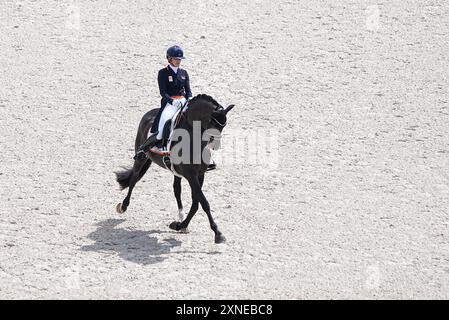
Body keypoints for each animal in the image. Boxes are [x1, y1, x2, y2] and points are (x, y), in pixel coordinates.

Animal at [114, 94, 234, 244]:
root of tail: (149, 113)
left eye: (224, 126)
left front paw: (180, 225)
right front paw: (218, 233)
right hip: (141, 158)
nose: (215, 146)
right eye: (212, 124)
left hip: (175, 171)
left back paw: (181, 216)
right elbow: (204, 202)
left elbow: (196, 203)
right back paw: (123, 206)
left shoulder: (200, 174)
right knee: (134, 178)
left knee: (176, 189)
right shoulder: (190, 175)